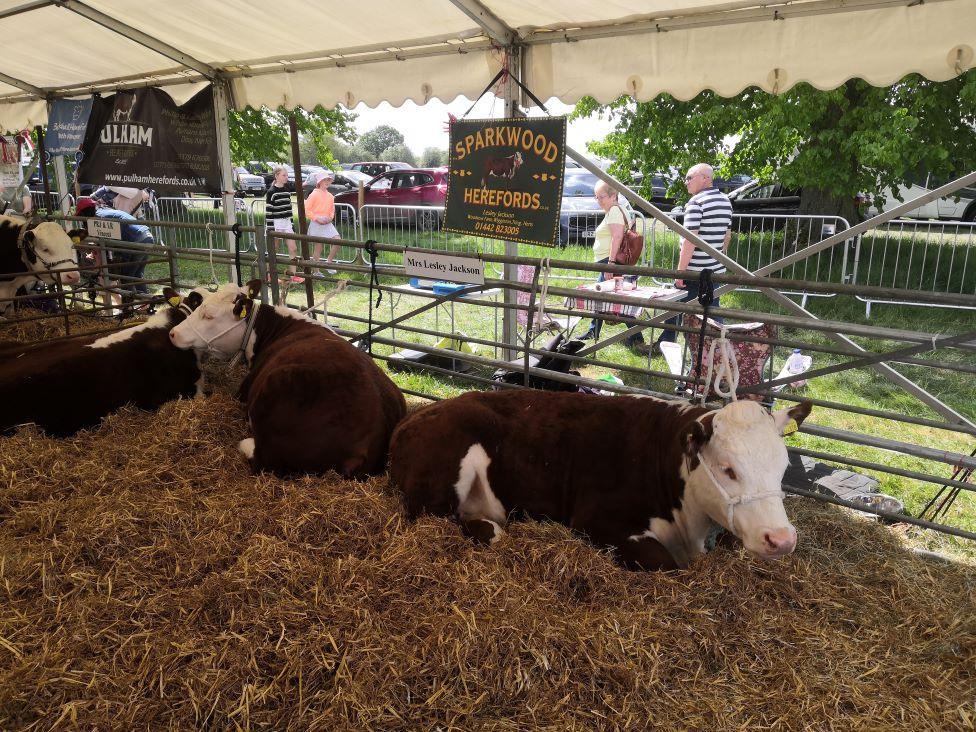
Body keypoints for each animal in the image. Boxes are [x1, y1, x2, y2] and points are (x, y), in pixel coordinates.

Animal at [386, 392, 812, 568]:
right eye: (728, 469)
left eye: (782, 467)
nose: (781, 539)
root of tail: (413, 417)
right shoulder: (595, 522)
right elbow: (665, 563)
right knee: (434, 516)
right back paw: (490, 528)